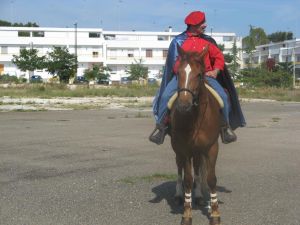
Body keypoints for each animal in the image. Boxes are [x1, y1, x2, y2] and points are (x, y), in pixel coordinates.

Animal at [169, 45, 223, 225]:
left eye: (199, 74)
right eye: (178, 73)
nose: (183, 105)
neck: (196, 117)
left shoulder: (211, 147)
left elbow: (211, 179)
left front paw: (215, 213)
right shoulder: (185, 149)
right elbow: (187, 179)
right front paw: (187, 213)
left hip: (199, 151)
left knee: (199, 169)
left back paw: (199, 195)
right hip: (178, 149)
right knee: (179, 169)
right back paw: (178, 195)